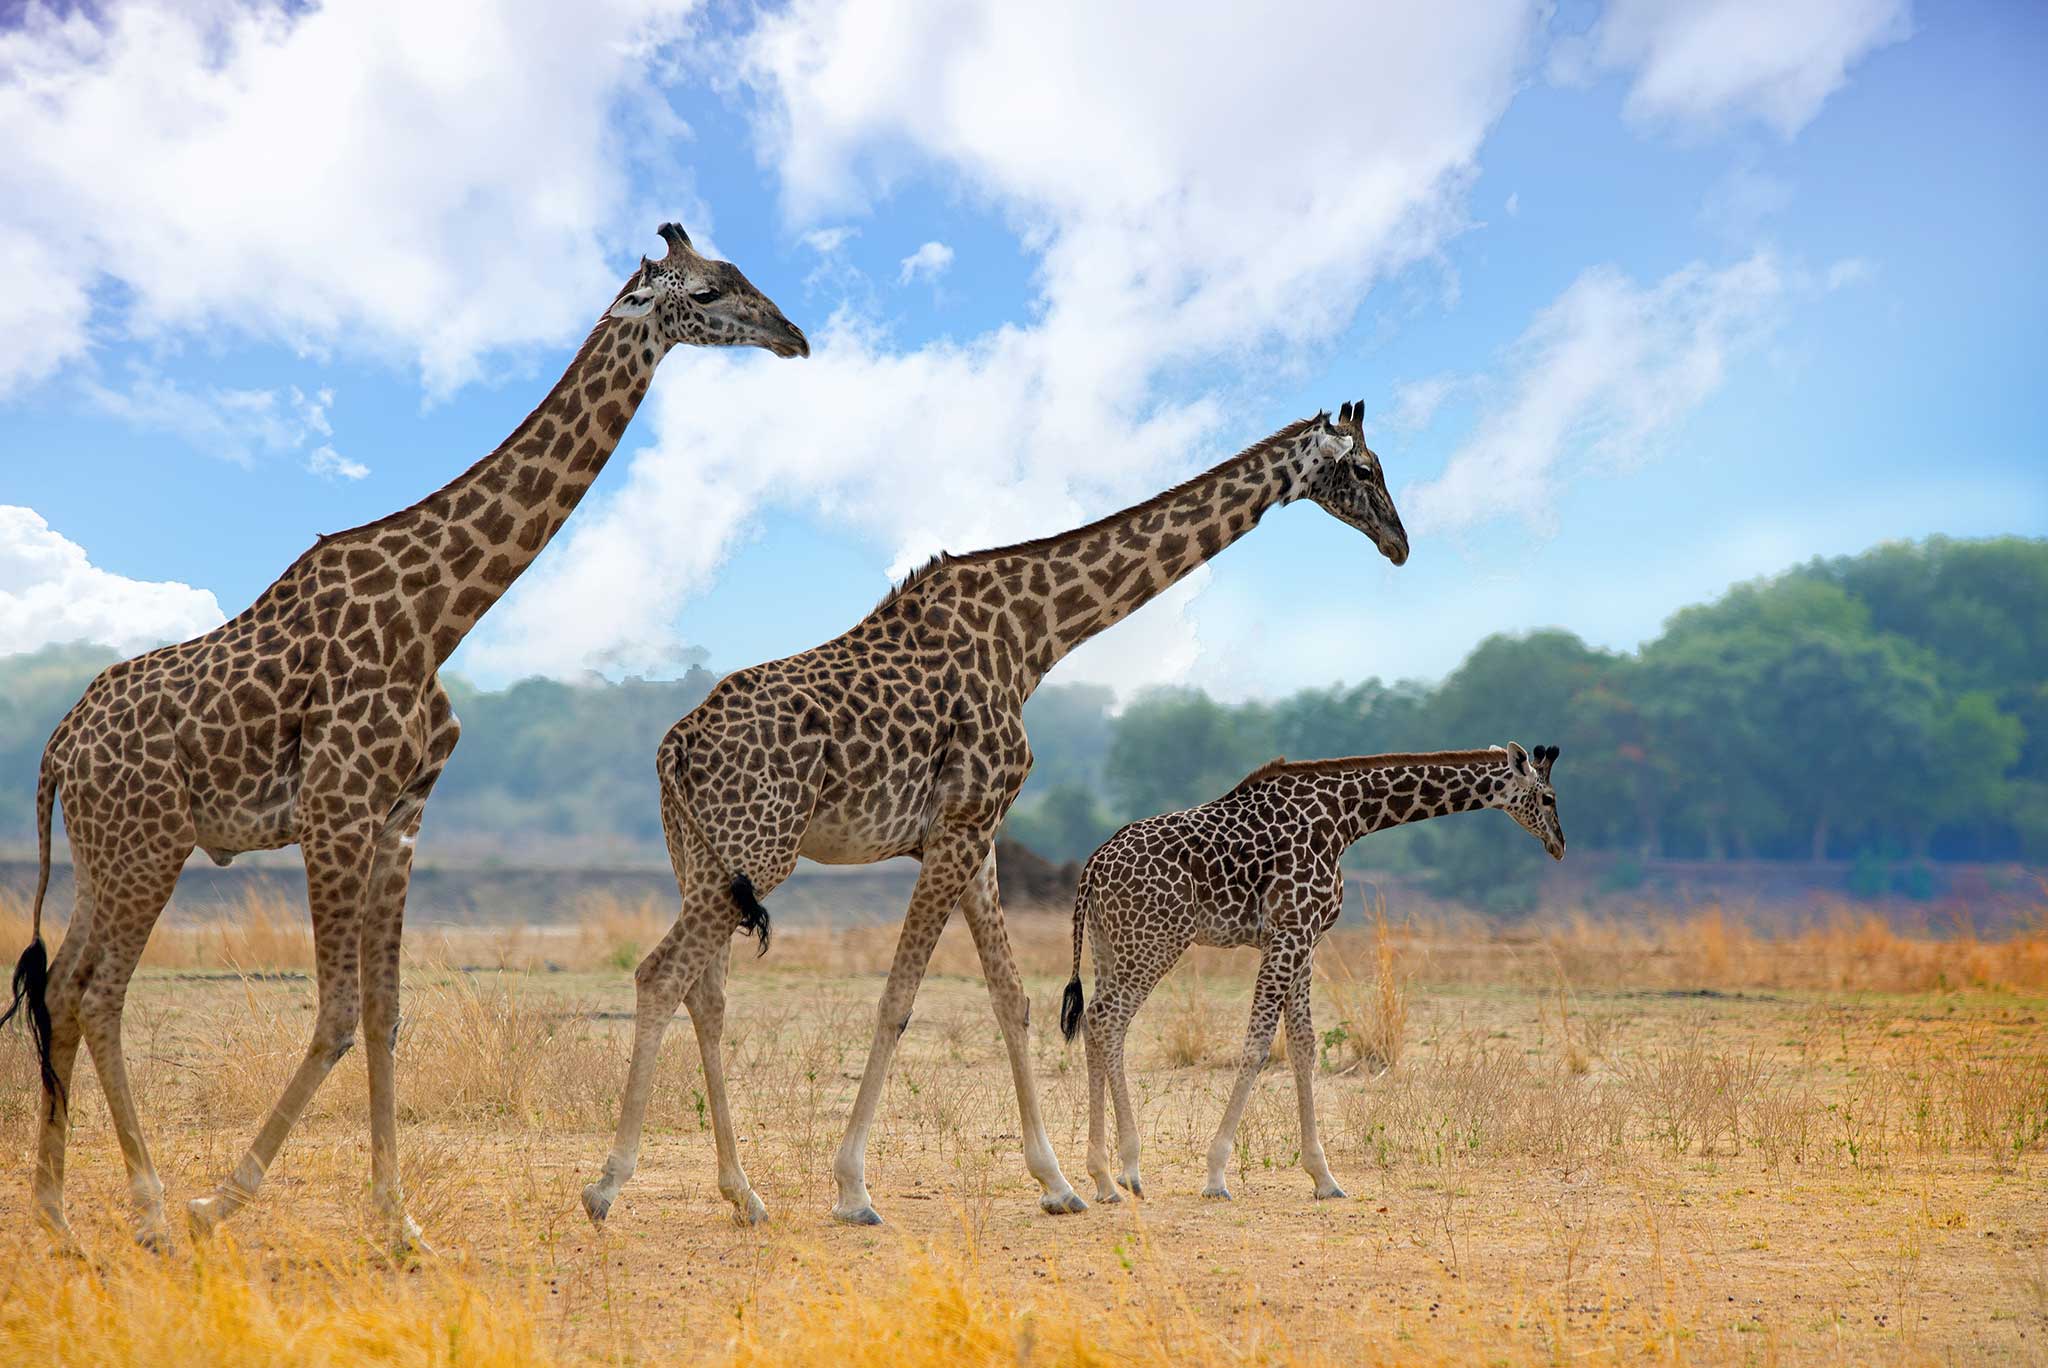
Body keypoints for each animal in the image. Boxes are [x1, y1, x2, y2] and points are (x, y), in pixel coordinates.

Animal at [4, 222, 811, 1253]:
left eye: (743, 276)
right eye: (706, 293)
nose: (793, 336)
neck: (437, 617)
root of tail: (57, 747)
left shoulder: (399, 819)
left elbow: (385, 1013)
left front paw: (398, 1222)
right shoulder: (335, 809)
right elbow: (338, 1013)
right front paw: (223, 1198)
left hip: (116, 847)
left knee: (64, 986)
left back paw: (58, 1213)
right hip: (145, 843)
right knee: (99, 992)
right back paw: (148, 1207)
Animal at [577, 395, 1409, 1228]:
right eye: (1366, 469)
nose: (1399, 545)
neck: (1035, 635)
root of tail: (676, 746)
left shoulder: (971, 837)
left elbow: (1013, 998)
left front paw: (1059, 1183)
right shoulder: (961, 826)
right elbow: (898, 999)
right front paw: (853, 1189)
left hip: (702, 856)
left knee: (706, 994)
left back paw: (743, 1193)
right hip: (761, 849)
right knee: (660, 974)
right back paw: (607, 1184)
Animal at [1064, 741, 1556, 1204]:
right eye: (1549, 797)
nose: (1559, 843)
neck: (1347, 818)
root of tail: (1092, 867)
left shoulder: (1306, 939)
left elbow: (1303, 1046)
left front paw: (1324, 1178)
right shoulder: (1291, 931)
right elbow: (1257, 1047)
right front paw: (1216, 1176)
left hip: (1110, 944)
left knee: (1093, 1020)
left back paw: (1102, 1178)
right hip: (1155, 940)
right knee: (1109, 1020)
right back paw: (1127, 1170)